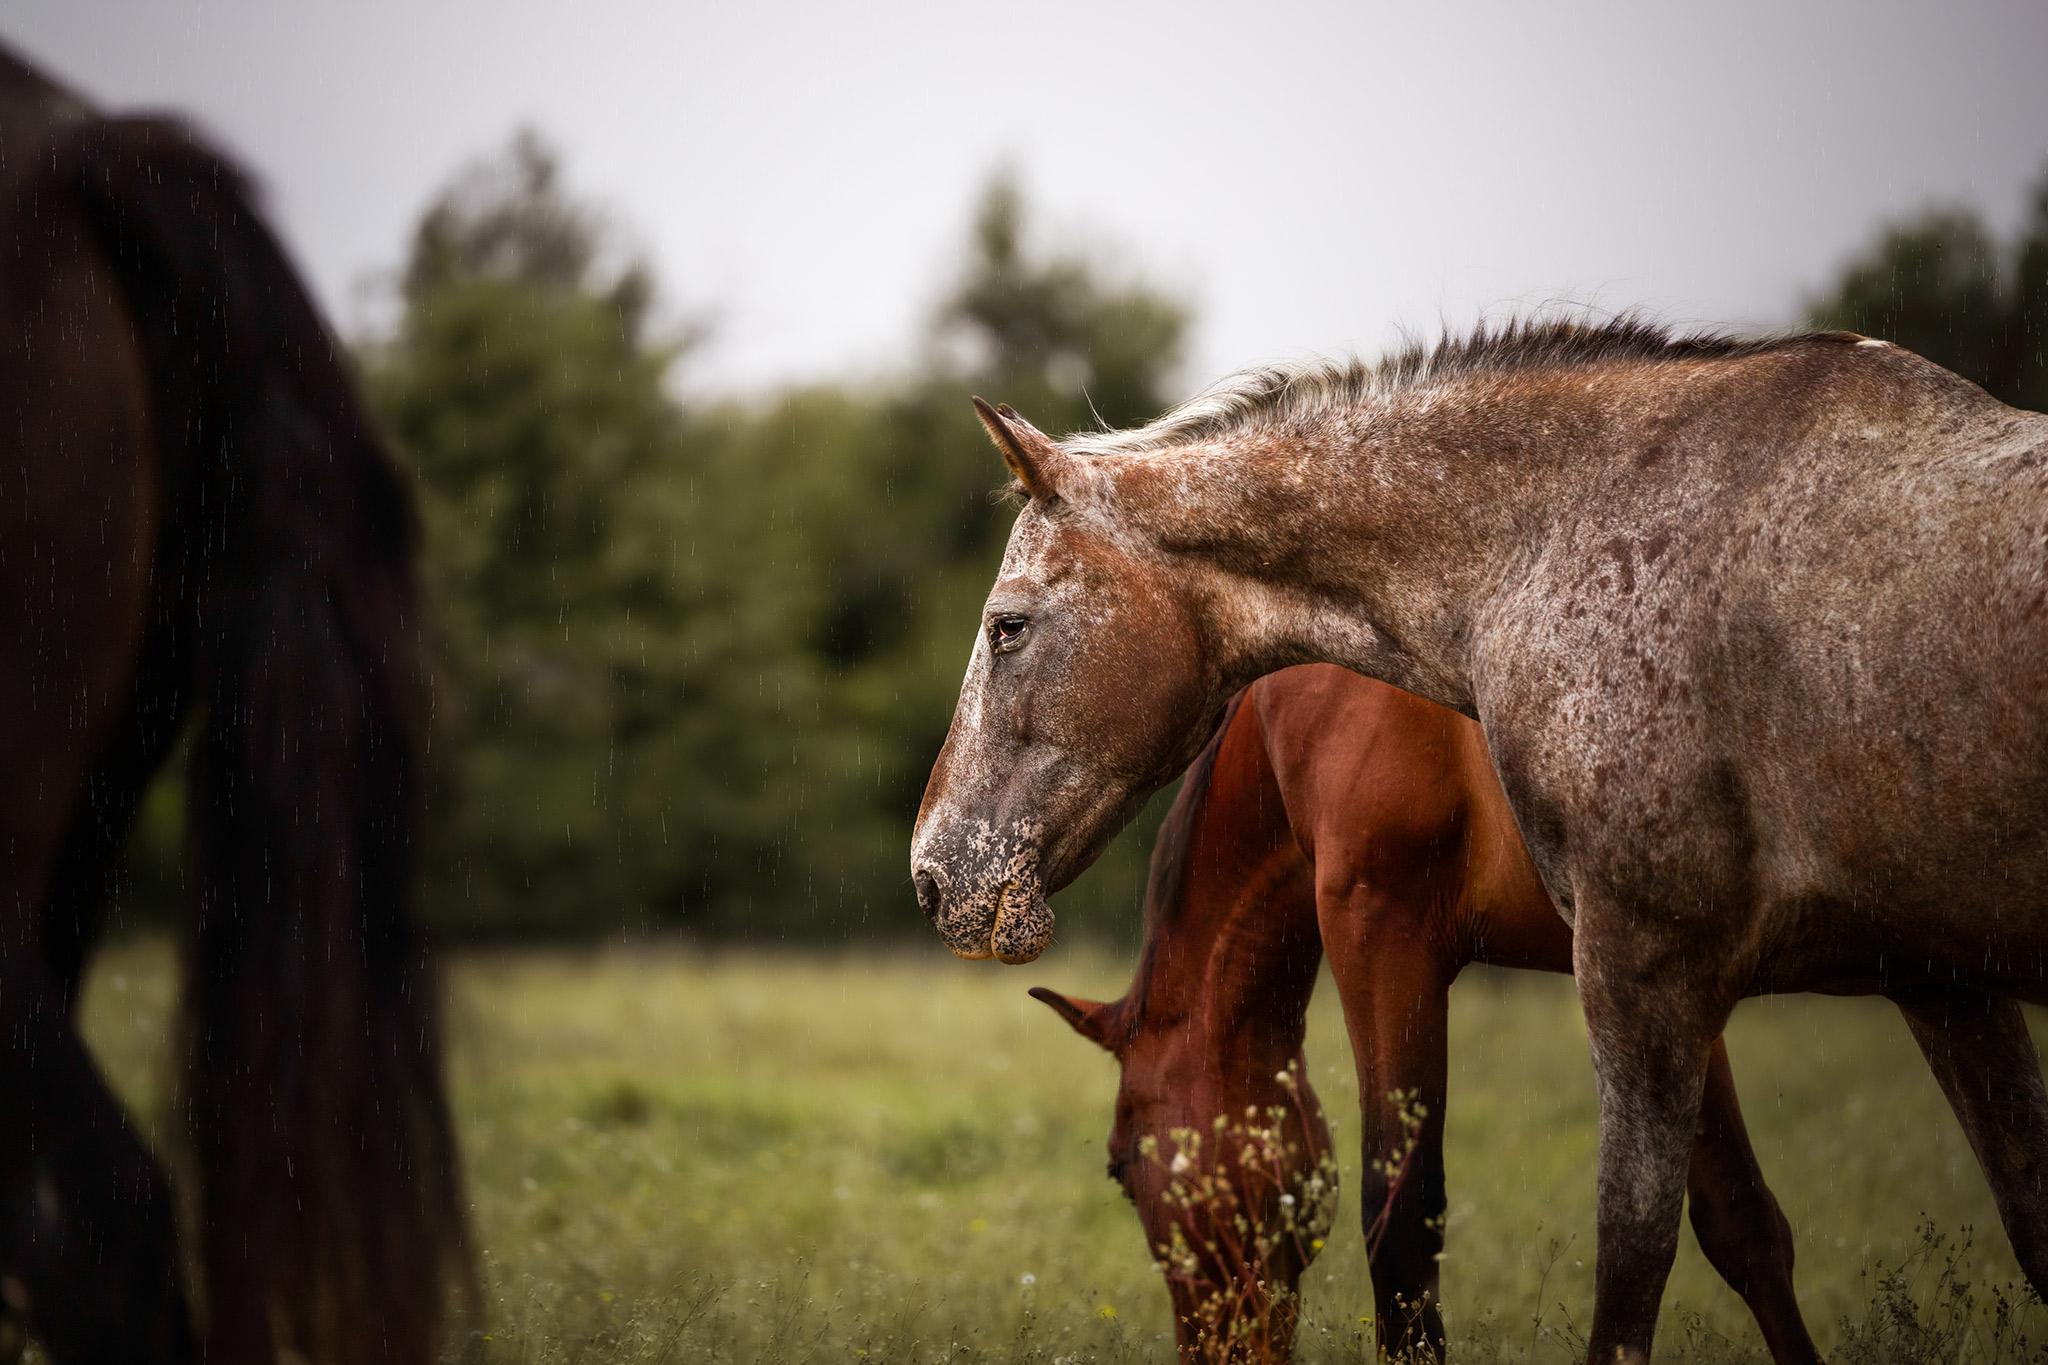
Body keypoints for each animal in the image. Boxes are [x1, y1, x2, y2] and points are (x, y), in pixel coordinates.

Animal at [1033, 666, 1819, 1363]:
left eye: (1121, 1167)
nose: (1207, 1353)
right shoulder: (1664, 978)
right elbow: (1740, 1220)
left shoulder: (1378, 929)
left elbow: (1400, 1225)